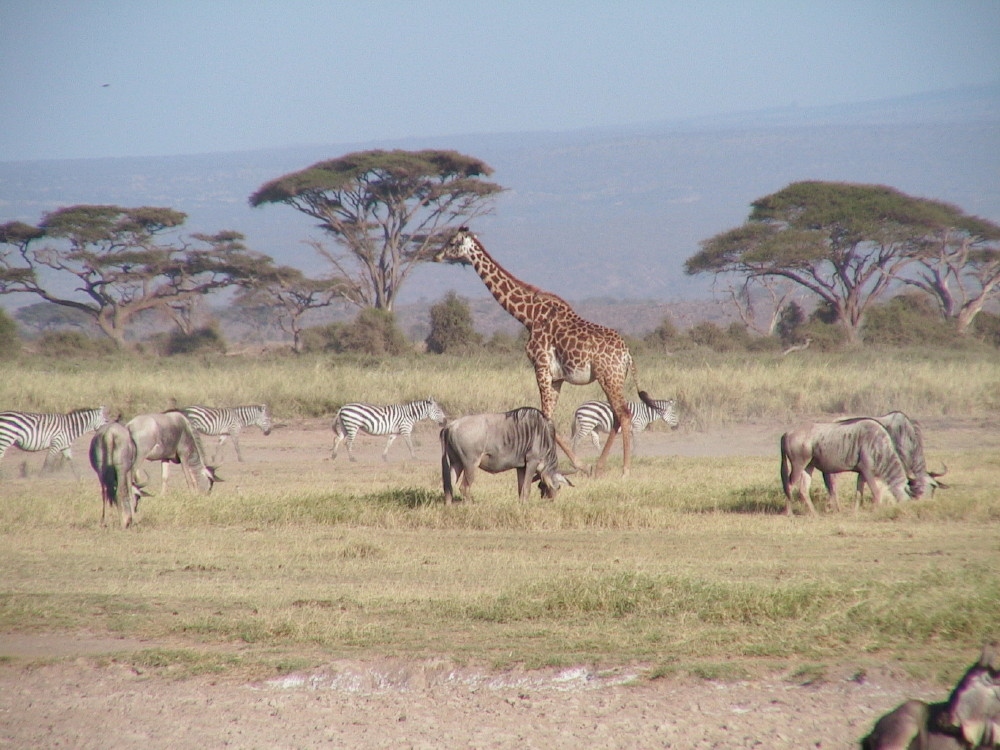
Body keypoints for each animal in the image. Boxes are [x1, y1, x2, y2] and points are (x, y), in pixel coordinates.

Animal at [432, 226, 656, 478]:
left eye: (452, 242)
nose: (436, 255)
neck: (528, 316)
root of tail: (627, 354)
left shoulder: (540, 366)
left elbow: (546, 417)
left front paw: (572, 465)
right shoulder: (556, 376)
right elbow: (549, 417)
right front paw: (579, 465)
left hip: (609, 377)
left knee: (624, 414)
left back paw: (625, 470)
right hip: (613, 378)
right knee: (618, 416)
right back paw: (599, 467)